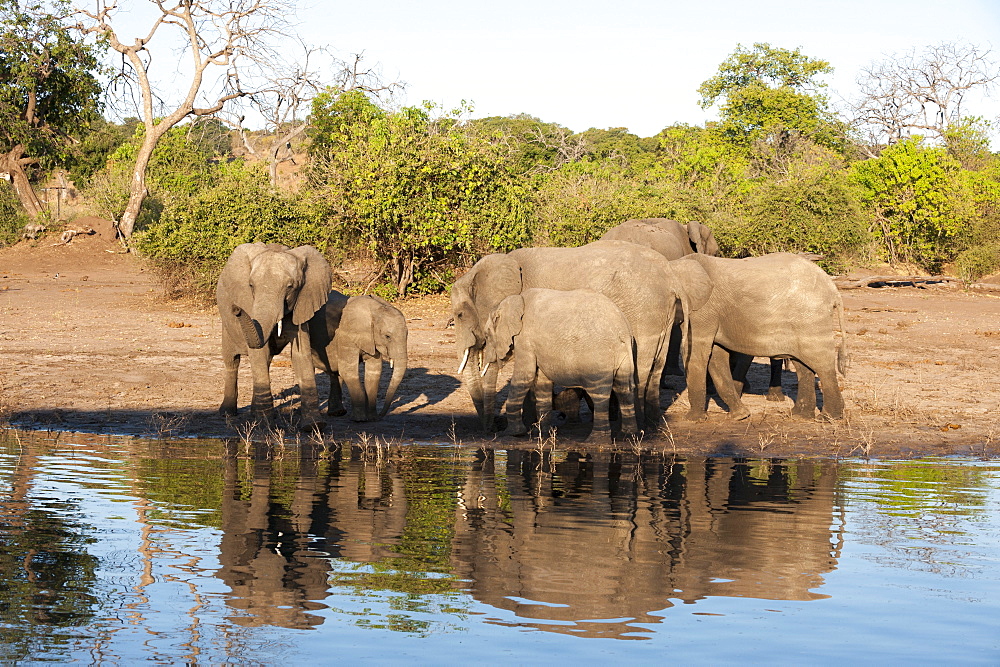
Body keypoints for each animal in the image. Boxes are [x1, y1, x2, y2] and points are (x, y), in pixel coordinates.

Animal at [216, 243, 332, 430]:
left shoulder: (301, 304)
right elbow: (258, 352)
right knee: (232, 360)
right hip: (226, 325)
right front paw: (265, 425)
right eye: (251, 285)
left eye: (290, 287)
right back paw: (227, 413)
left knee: (266, 360)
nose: (236, 309)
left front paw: (313, 426)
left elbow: (301, 354)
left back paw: (253, 413)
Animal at [308, 292, 410, 422]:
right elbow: (348, 370)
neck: (375, 309)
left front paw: (372, 418)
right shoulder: (346, 334)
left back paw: (337, 413)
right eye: (387, 336)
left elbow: (374, 371)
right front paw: (360, 419)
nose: (380, 416)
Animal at [482, 288, 636, 444]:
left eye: (487, 335)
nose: (490, 431)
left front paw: (512, 433)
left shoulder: (525, 339)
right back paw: (627, 436)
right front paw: (543, 433)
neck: (515, 300)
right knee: (623, 389)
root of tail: (623, 331)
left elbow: (525, 375)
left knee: (599, 393)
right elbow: (542, 382)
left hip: (599, 358)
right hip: (624, 354)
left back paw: (595, 441)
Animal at [668, 253, 848, 420]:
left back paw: (828, 417)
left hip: (811, 318)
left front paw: (692, 419)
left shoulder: (702, 312)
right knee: (803, 365)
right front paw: (739, 416)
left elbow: (696, 355)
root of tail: (833, 289)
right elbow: (716, 357)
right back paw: (799, 415)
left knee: (821, 363)